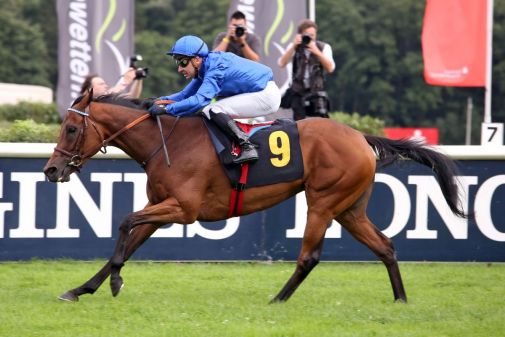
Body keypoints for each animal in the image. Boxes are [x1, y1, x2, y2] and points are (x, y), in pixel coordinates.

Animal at [43, 90, 464, 302]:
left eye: (70, 129)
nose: (51, 170)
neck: (167, 142)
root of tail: (361, 137)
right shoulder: (160, 205)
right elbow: (130, 242)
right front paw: (81, 288)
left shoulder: (183, 209)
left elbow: (125, 222)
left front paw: (114, 282)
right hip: (350, 209)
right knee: (385, 246)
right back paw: (401, 299)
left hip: (324, 201)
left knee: (309, 256)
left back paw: (277, 299)